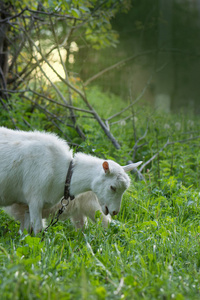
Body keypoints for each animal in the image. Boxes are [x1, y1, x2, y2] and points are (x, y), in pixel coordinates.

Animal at [0, 126, 143, 234]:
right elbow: (36, 229)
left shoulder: (28, 204)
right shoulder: (34, 199)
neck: (63, 172)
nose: (115, 211)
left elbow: (26, 231)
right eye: (112, 187)